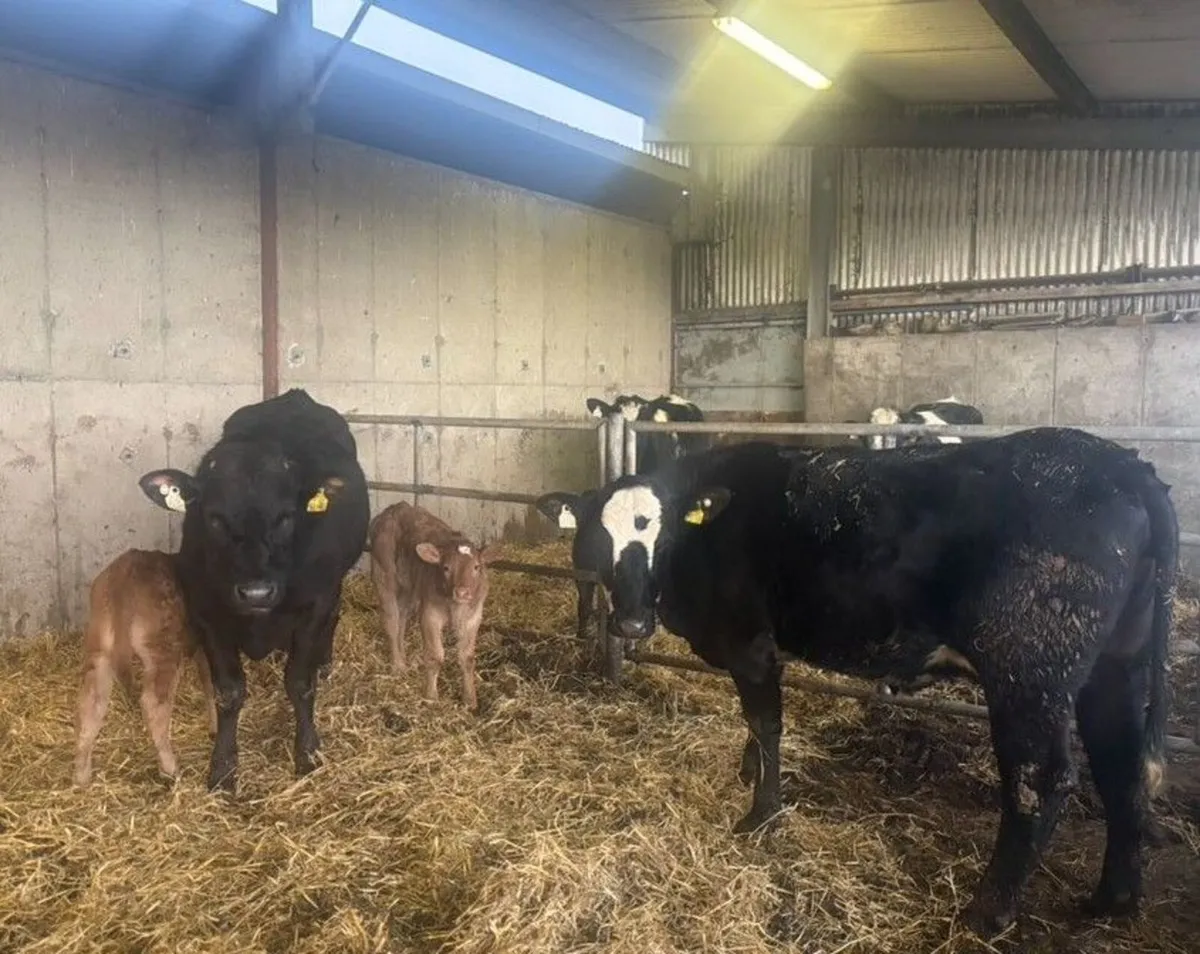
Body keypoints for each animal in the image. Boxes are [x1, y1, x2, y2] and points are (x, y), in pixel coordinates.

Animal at [73, 549, 217, 788]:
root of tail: (124, 574)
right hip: (163, 649)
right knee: (153, 704)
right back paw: (171, 769)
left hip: (99, 647)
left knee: (91, 703)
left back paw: (82, 776)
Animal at [137, 389, 370, 794]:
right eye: (213, 518)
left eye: (286, 516)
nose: (256, 593)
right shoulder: (205, 611)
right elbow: (230, 691)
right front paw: (223, 767)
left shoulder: (315, 603)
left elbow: (300, 683)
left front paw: (307, 753)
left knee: (335, 616)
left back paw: (324, 660)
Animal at [368, 501, 499, 710]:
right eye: (446, 568)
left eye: (476, 567)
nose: (462, 592)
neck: (455, 606)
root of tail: (395, 508)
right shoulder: (430, 615)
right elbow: (435, 656)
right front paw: (431, 696)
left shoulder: (473, 617)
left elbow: (467, 658)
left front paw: (470, 700)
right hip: (383, 574)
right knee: (391, 623)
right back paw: (398, 666)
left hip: (408, 588)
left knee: (402, 620)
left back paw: (404, 659)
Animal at [560, 429, 1176, 936]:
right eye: (597, 540)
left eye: (661, 541)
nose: (630, 625)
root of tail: (1125, 465)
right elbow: (753, 728)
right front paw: (748, 772)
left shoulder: (751, 647)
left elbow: (766, 722)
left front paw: (761, 814)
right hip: (1115, 665)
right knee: (1121, 768)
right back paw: (1113, 899)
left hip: (1029, 671)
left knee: (1040, 780)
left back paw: (988, 911)